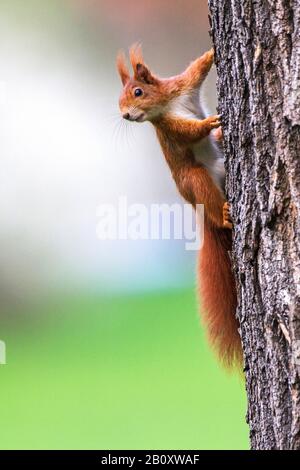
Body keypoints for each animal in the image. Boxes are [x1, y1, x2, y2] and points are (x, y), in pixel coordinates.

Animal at [116, 45, 241, 368]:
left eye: (137, 92)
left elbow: (198, 68)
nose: (126, 115)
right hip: (194, 179)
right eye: (118, 100)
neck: (168, 103)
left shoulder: (184, 85)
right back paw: (223, 215)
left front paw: (212, 51)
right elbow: (189, 133)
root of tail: (196, 206)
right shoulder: (169, 127)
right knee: (210, 202)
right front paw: (208, 124)